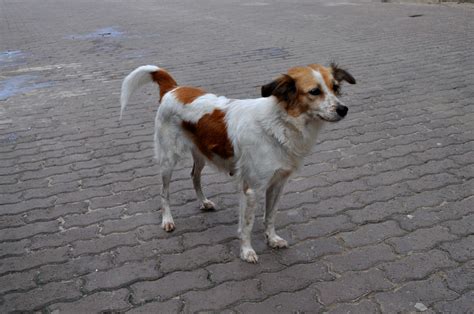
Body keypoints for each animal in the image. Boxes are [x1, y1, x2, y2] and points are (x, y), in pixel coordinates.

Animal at [120, 63, 354, 262]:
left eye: (335, 88)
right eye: (314, 91)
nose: (343, 109)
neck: (279, 123)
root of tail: (173, 88)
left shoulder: (278, 183)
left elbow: (270, 216)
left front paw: (272, 239)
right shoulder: (251, 189)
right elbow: (247, 225)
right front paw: (247, 251)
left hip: (202, 153)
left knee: (194, 176)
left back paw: (204, 202)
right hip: (168, 158)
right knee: (164, 192)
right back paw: (167, 220)